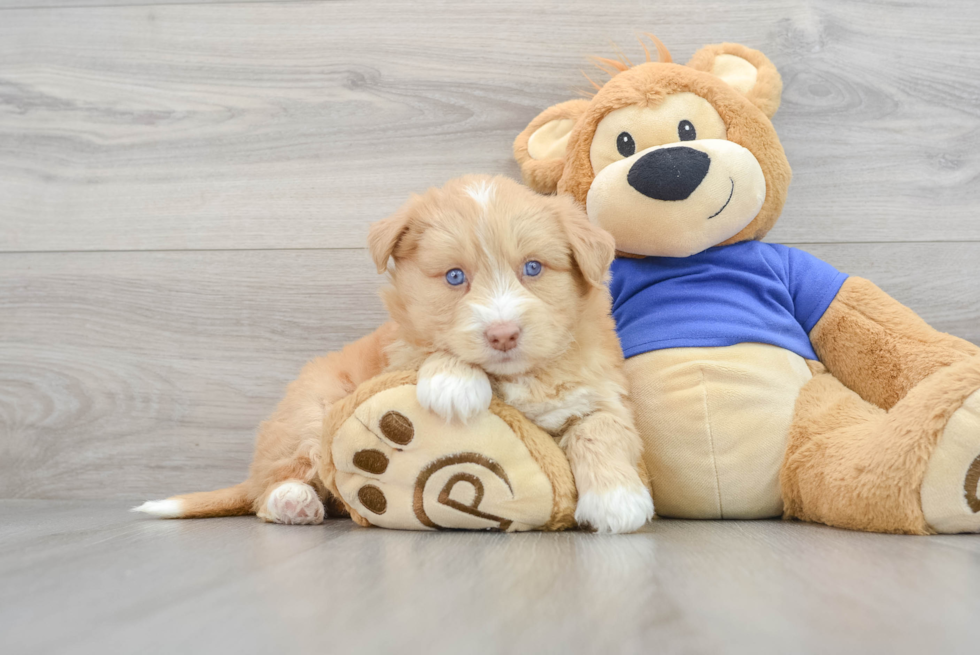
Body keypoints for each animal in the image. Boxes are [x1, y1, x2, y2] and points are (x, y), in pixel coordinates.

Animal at [134, 177, 656, 536]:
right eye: (454, 277)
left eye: (533, 268)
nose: (503, 334)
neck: (515, 377)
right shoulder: (400, 348)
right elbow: (426, 348)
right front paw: (453, 382)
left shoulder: (598, 391)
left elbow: (602, 430)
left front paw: (617, 499)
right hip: (310, 410)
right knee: (275, 482)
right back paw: (293, 501)